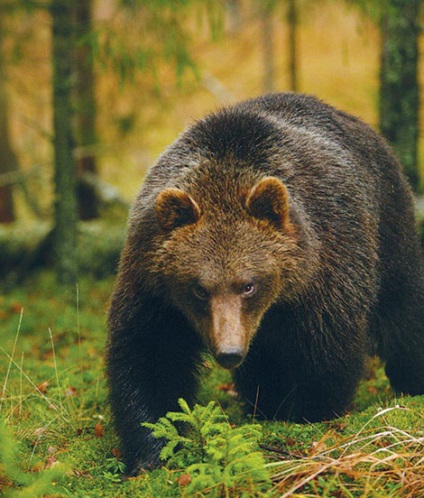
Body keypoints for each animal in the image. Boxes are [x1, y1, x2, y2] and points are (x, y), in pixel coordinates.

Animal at [107, 92, 424, 474]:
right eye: (199, 288)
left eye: (248, 284)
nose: (229, 352)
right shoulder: (154, 286)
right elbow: (150, 355)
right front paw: (151, 450)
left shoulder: (325, 263)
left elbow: (327, 346)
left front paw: (311, 411)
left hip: (388, 226)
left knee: (402, 311)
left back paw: (411, 380)